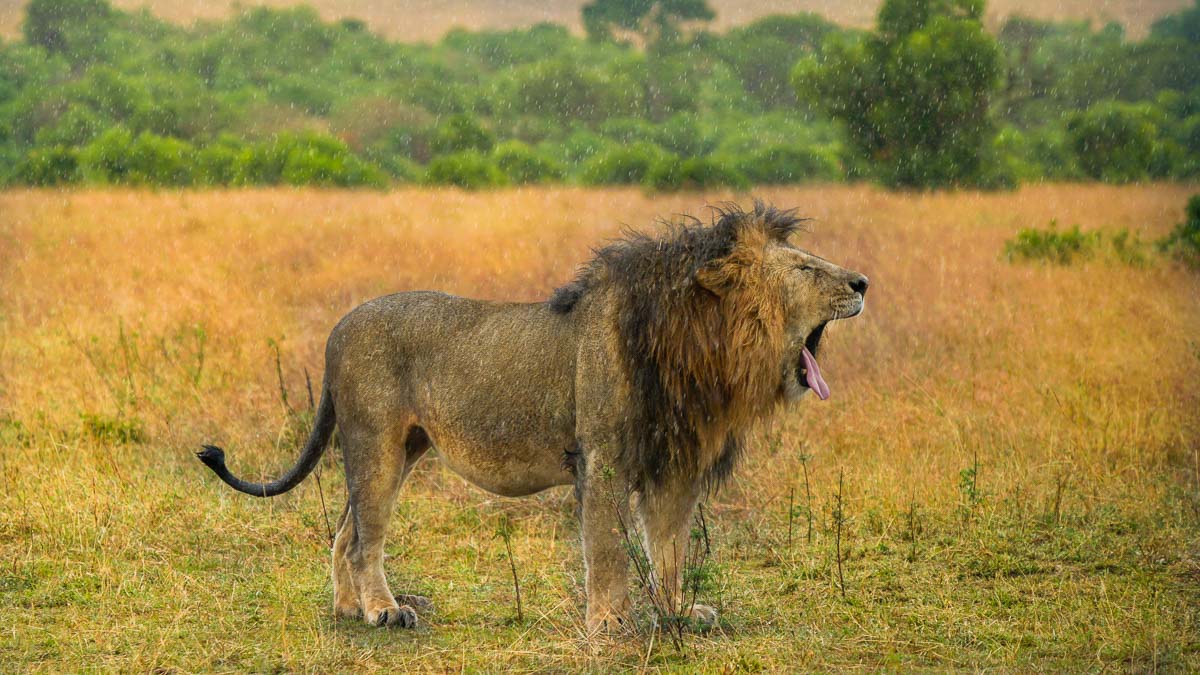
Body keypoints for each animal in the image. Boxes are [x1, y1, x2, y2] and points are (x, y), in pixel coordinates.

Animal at [199, 199, 873, 629]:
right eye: (806, 268)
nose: (863, 282)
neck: (704, 345)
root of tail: (338, 328)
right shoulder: (601, 457)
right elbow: (607, 549)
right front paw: (611, 624)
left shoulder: (672, 465)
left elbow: (670, 548)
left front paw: (680, 613)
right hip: (376, 444)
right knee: (366, 537)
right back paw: (383, 610)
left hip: (401, 449)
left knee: (345, 531)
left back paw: (349, 610)